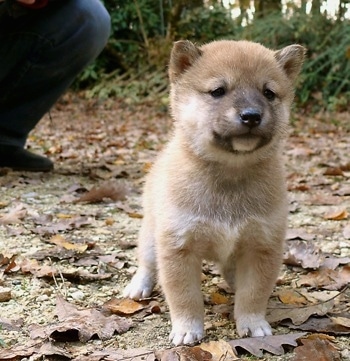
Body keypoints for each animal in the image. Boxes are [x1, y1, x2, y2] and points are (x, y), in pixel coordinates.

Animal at [124, 38, 304, 344]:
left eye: (268, 93)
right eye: (218, 91)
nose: (251, 116)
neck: (230, 176)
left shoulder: (261, 246)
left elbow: (253, 293)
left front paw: (252, 323)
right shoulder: (178, 248)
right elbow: (185, 297)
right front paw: (187, 328)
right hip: (150, 239)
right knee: (147, 264)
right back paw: (139, 286)